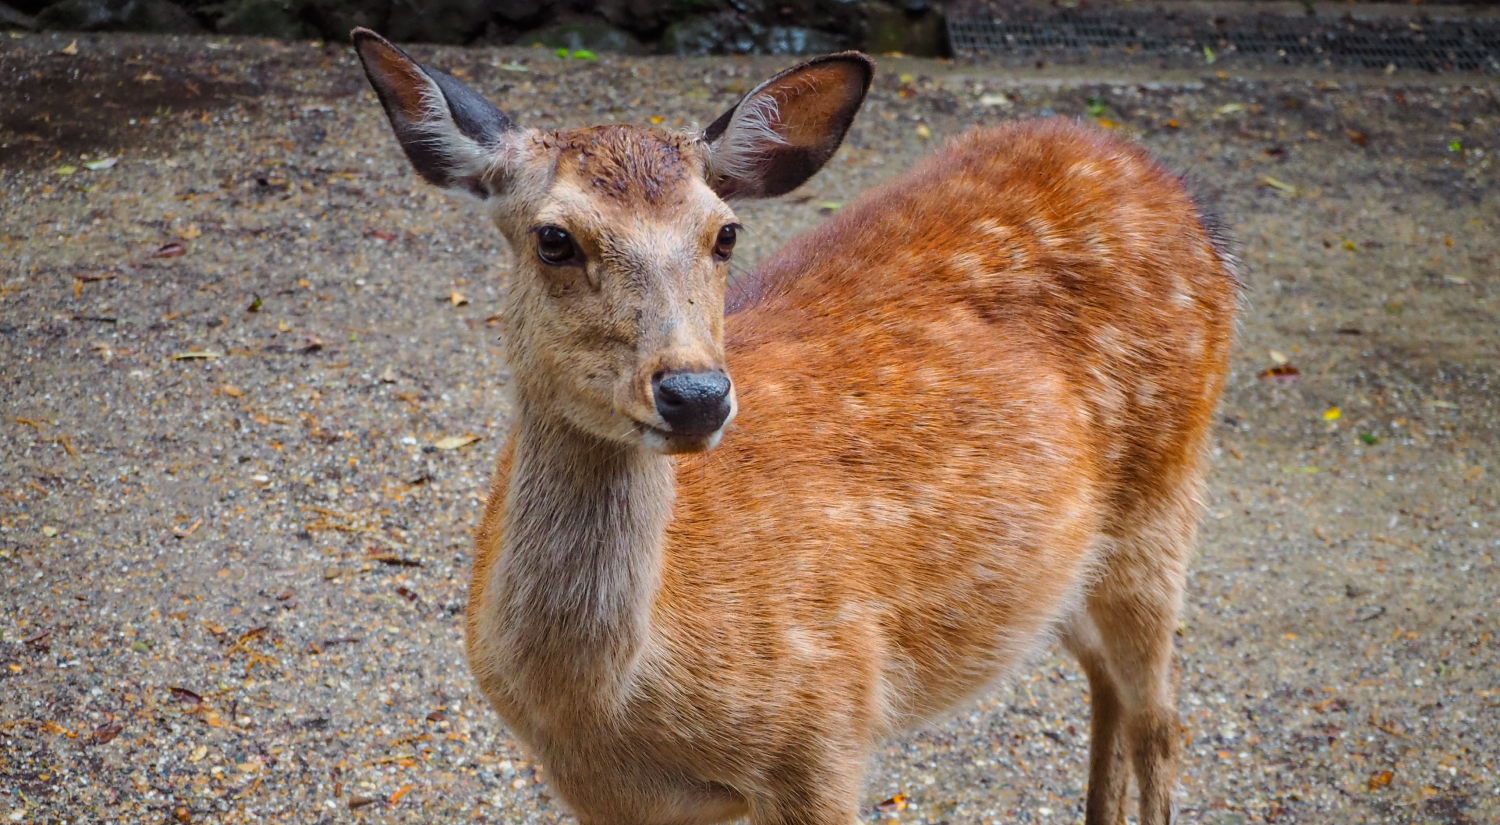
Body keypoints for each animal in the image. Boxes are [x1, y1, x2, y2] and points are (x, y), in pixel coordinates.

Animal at [352, 27, 1236, 825]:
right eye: (554, 238)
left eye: (725, 232)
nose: (696, 393)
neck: (607, 703)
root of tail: (1178, 189)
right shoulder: (603, 793)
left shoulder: (826, 729)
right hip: (1078, 565)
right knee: (1107, 685)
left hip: (1166, 502)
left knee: (1161, 716)